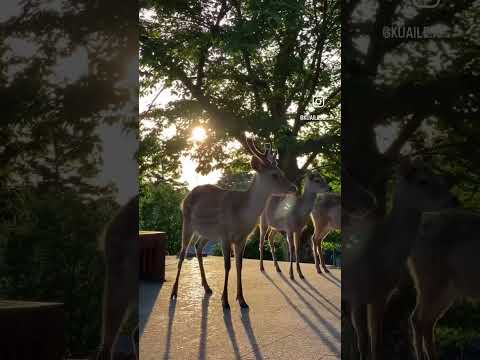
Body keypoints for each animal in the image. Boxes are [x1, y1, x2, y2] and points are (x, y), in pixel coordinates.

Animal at [169, 135, 296, 310]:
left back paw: (207, 287)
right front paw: (225, 301)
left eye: (282, 172)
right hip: (187, 222)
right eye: (274, 174)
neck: (241, 216)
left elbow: (239, 265)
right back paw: (174, 292)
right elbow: (227, 265)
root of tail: (185, 197)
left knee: (198, 247)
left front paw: (242, 300)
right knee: (182, 253)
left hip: (208, 233)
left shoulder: (242, 238)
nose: (294, 187)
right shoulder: (225, 235)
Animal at [342, 160, 458, 360]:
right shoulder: (356, 294)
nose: (454, 199)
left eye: (440, 178)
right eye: (423, 181)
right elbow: (362, 342)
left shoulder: (381, 295)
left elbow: (376, 341)